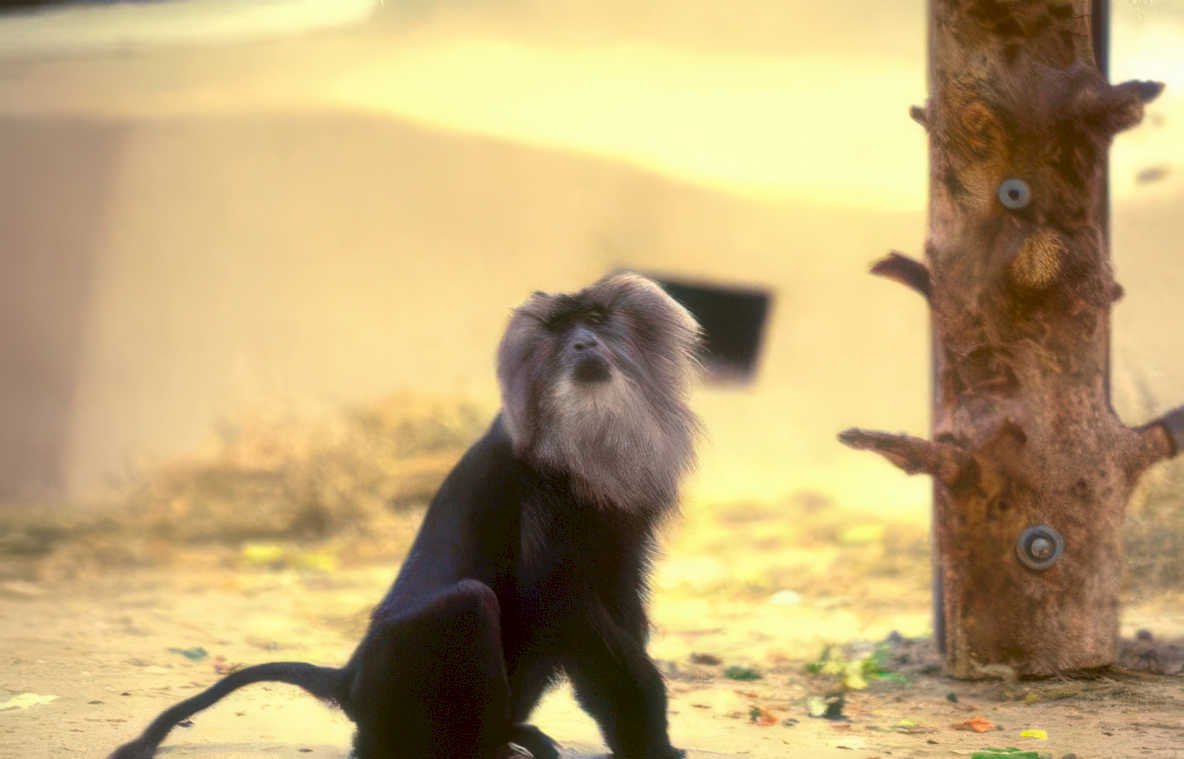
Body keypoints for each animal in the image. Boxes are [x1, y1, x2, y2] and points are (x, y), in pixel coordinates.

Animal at [108, 272, 701, 759]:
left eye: (595, 320)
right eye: (558, 328)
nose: (582, 343)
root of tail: (350, 677)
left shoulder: (624, 531)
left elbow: (613, 601)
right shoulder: (541, 496)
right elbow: (562, 597)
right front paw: (649, 742)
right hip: (396, 673)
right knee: (469, 604)